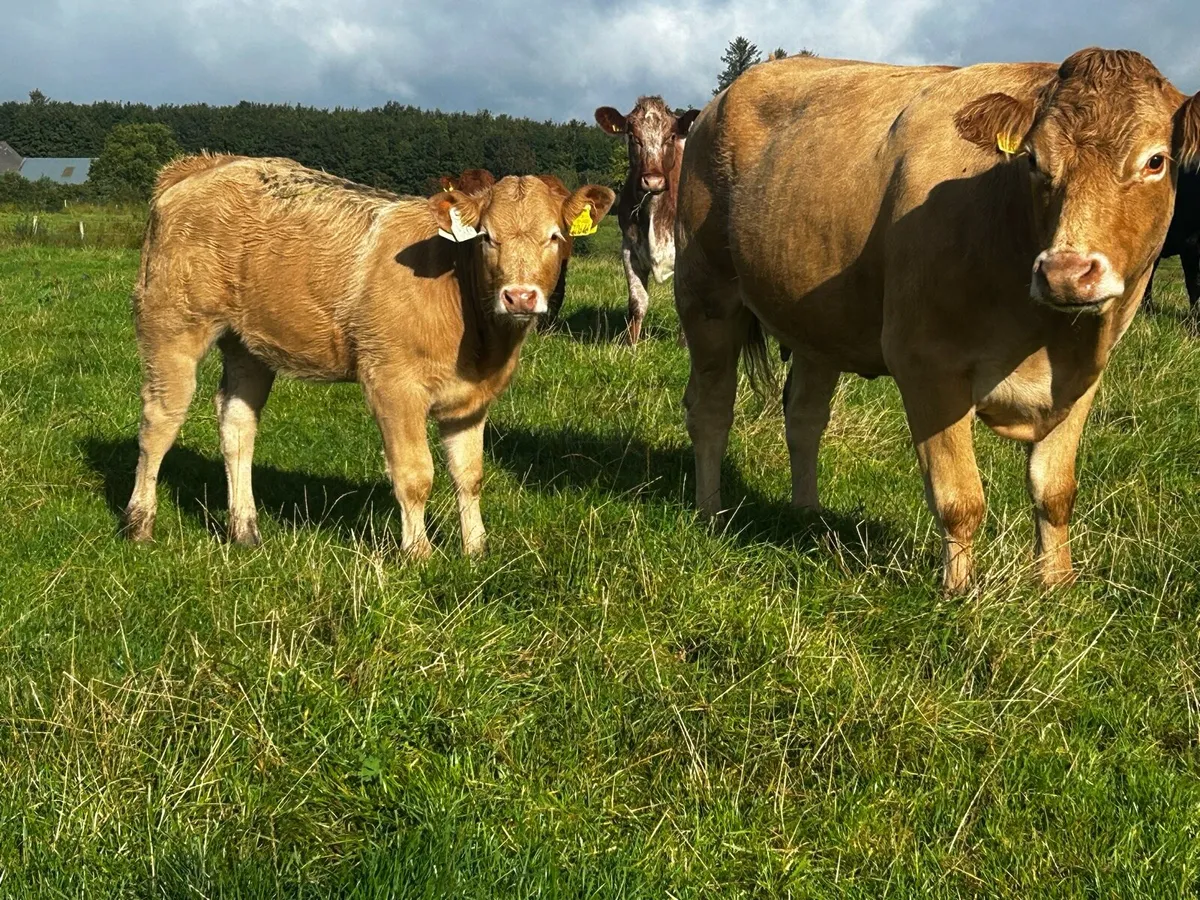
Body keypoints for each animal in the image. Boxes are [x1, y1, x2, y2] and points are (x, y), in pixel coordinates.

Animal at [124, 154, 613, 557]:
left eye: (555, 236)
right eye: (487, 238)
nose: (520, 296)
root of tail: (202, 166)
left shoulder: (472, 400)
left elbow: (469, 474)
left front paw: (476, 550)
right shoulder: (393, 385)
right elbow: (416, 474)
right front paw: (418, 554)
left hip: (248, 345)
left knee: (237, 424)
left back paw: (244, 530)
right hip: (171, 325)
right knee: (159, 422)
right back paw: (139, 524)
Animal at [595, 96, 700, 344]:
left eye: (671, 136)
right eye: (633, 137)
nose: (653, 181)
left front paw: (684, 345)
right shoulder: (629, 248)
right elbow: (637, 302)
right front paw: (630, 344)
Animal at [675, 48, 1200, 592]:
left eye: (1156, 160)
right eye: (1033, 160)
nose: (1066, 272)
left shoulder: (1082, 377)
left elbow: (1055, 492)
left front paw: (1057, 584)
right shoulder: (926, 365)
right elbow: (959, 499)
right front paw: (960, 592)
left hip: (817, 322)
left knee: (804, 416)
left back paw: (807, 515)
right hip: (706, 296)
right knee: (710, 408)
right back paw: (711, 513)